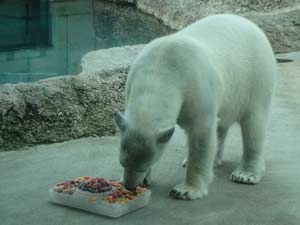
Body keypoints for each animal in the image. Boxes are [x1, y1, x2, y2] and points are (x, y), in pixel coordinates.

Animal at [114, 14, 276, 200]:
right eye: (122, 162)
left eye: (145, 165)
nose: (129, 186)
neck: (161, 67)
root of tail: (250, 23)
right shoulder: (132, 82)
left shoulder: (195, 86)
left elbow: (201, 134)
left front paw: (185, 190)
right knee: (221, 123)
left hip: (255, 76)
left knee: (253, 123)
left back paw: (246, 174)